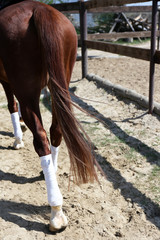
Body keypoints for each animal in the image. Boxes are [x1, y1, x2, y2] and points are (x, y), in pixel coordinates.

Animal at [0, 0, 97, 232]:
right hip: (59, 85)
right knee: (56, 131)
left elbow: (11, 105)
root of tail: (39, 9)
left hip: (28, 90)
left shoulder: (5, 81)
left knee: (41, 138)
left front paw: (18, 139)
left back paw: (56, 212)